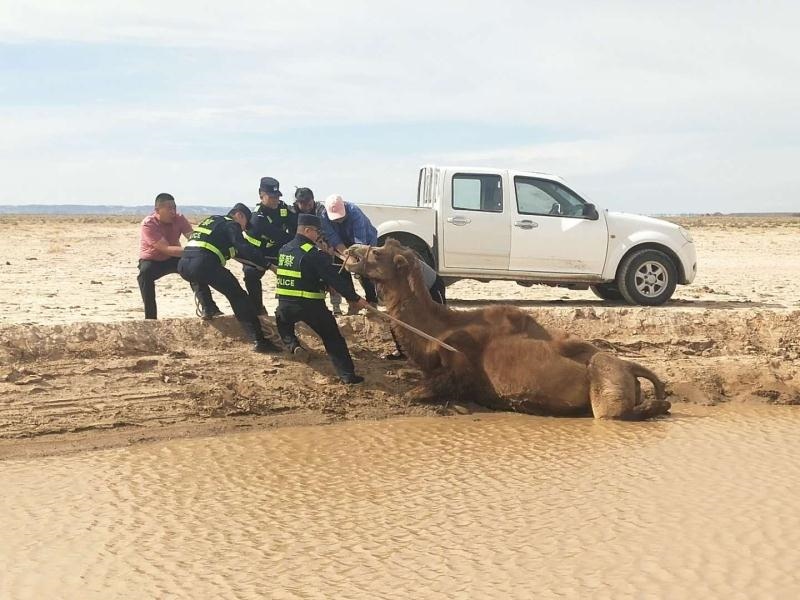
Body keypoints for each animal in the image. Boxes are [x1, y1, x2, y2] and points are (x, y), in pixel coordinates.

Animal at [346, 239, 670, 420]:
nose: (350, 250)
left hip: (606, 383)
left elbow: (416, 393)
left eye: (377, 253)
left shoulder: (458, 370)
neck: (436, 330)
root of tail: (630, 366)